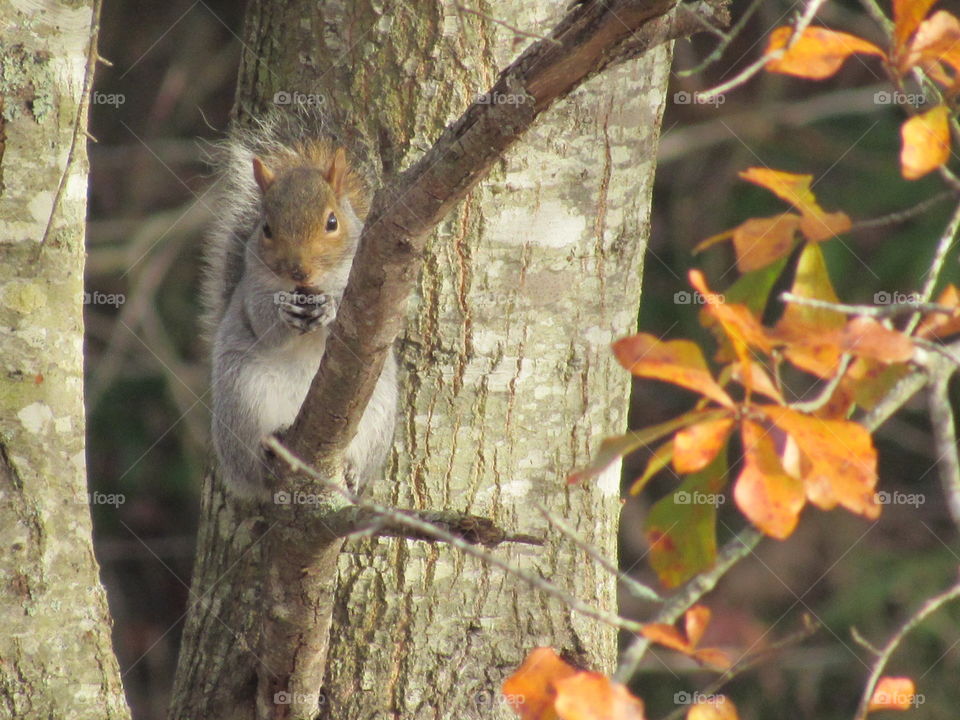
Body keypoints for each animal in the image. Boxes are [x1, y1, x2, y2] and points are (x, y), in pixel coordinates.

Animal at [201, 112, 398, 499]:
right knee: (253, 464)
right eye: (266, 228)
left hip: (378, 414)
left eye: (332, 222)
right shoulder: (251, 290)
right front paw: (283, 314)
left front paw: (331, 309)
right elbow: (262, 322)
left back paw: (351, 469)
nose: (299, 269)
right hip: (243, 399)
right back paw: (267, 449)